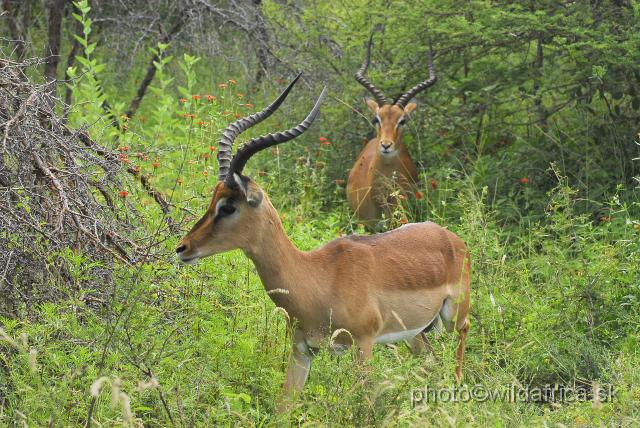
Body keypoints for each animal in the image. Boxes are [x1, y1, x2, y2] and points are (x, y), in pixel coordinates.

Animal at [175, 75, 470, 410]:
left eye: (228, 206)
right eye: (213, 199)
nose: (182, 248)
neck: (318, 276)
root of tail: (450, 237)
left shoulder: (363, 346)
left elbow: (365, 408)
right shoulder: (302, 350)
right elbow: (283, 408)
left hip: (454, 317)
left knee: (461, 344)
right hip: (415, 334)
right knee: (432, 363)